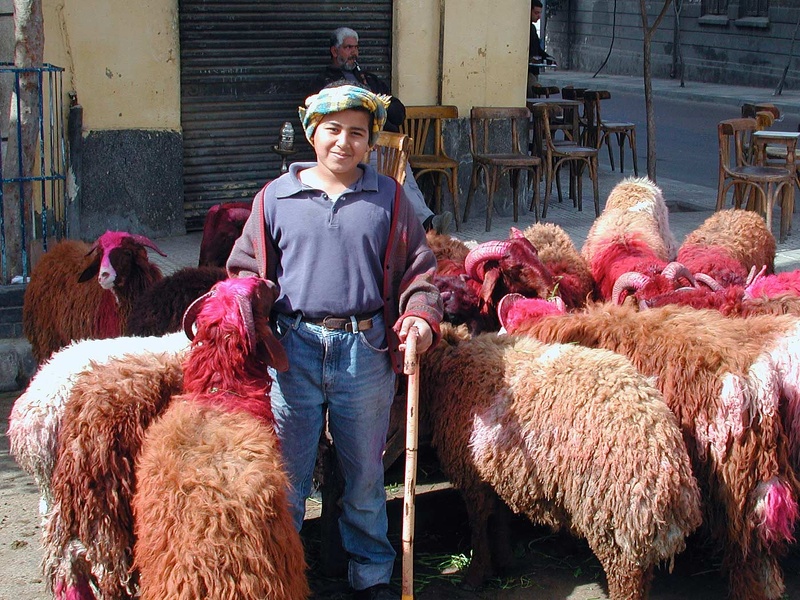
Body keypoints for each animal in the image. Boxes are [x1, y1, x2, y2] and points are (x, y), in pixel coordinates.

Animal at [418, 324, 700, 600]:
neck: (450, 365)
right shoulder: (494, 473)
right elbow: (499, 519)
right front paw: (505, 563)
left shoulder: (471, 475)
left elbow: (478, 525)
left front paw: (475, 576)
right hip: (632, 531)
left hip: (613, 522)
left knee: (625, 583)